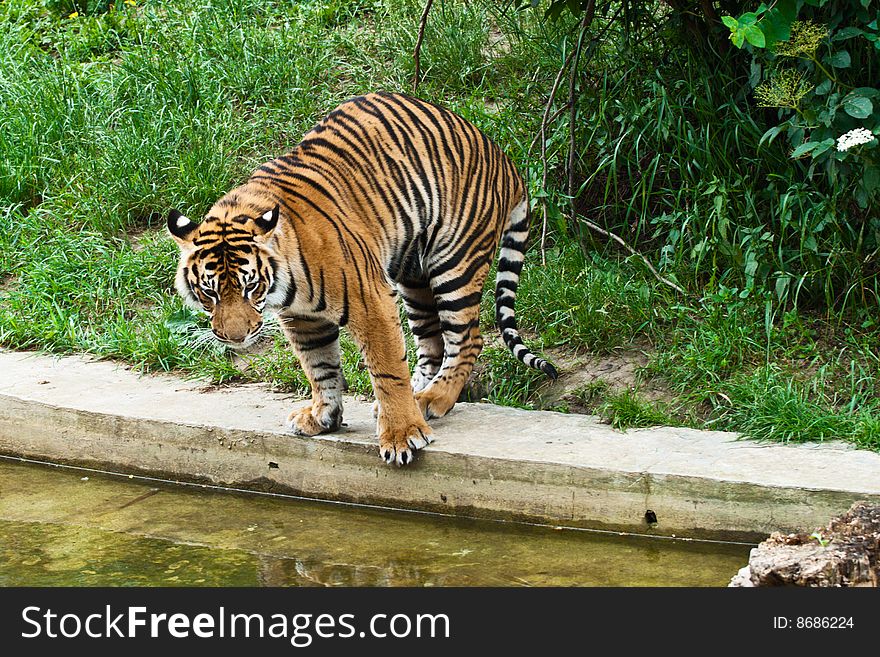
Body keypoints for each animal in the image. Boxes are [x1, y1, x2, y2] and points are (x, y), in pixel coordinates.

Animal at [168, 91, 556, 466]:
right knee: (432, 343)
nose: (235, 338)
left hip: (455, 263)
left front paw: (402, 434)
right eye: (209, 293)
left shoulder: (370, 301)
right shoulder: (303, 319)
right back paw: (418, 395)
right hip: (413, 274)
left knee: (468, 339)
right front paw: (322, 416)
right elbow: (319, 367)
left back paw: (433, 398)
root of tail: (504, 157)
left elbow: (387, 369)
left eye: (250, 287)